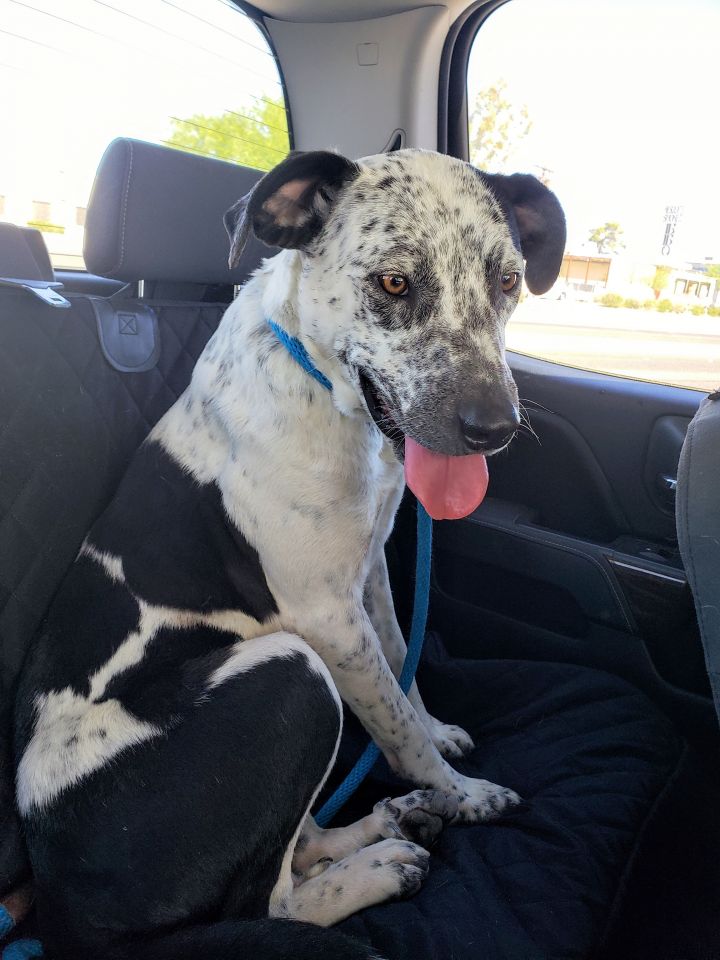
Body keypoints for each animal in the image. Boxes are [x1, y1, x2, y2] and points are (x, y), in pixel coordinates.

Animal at [9, 148, 564, 960]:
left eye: (507, 279)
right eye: (393, 283)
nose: (494, 428)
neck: (320, 385)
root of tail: (58, 912)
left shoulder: (369, 573)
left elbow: (402, 671)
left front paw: (437, 742)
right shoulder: (324, 617)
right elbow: (394, 726)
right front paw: (462, 797)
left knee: (297, 846)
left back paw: (381, 825)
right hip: (291, 674)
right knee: (270, 903)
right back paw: (380, 865)